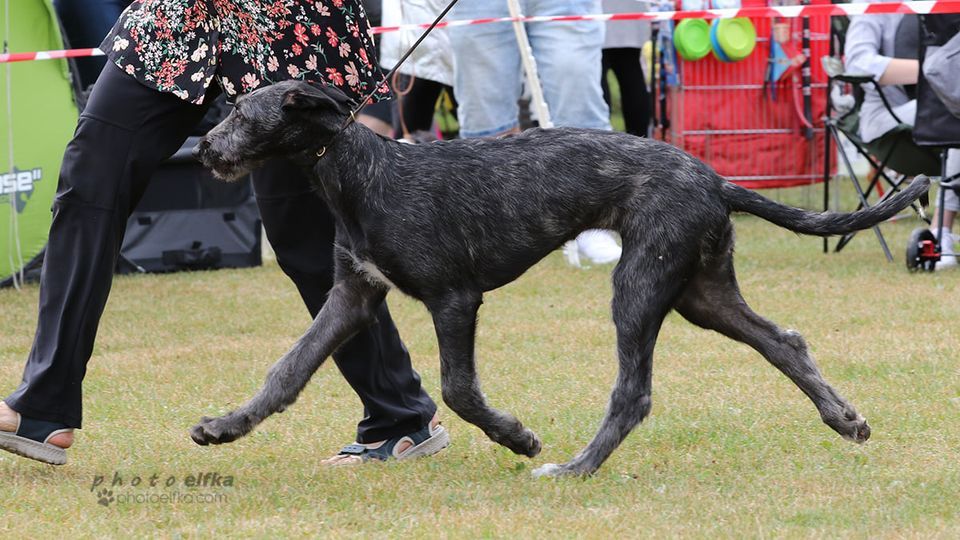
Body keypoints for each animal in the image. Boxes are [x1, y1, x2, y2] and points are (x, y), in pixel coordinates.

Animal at [189, 80, 928, 476]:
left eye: (242, 114)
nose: (202, 150)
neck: (362, 174)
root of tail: (716, 179)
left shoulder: (454, 298)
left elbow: (458, 390)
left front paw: (516, 437)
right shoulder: (353, 295)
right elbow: (288, 369)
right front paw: (226, 426)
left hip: (639, 286)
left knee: (634, 394)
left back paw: (574, 468)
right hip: (700, 289)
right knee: (783, 341)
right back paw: (844, 418)